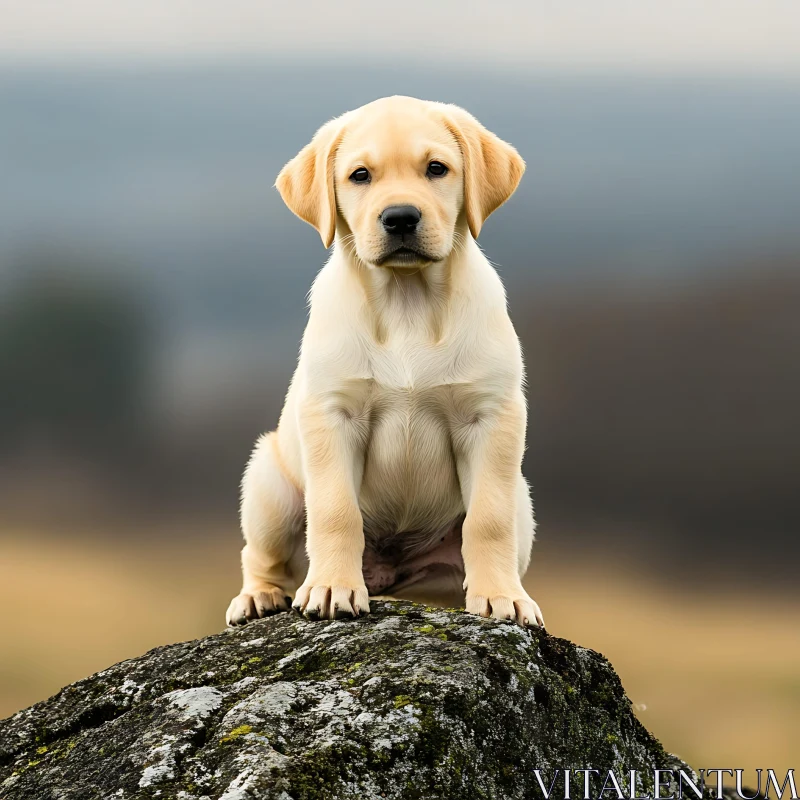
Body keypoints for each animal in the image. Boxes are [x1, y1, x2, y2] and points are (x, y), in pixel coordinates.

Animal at [228, 94, 548, 628]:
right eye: (360, 175)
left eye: (436, 168)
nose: (400, 217)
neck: (407, 302)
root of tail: (386, 576)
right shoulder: (332, 415)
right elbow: (336, 512)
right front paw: (332, 587)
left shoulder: (491, 418)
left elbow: (488, 520)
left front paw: (502, 596)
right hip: (269, 483)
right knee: (261, 556)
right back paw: (259, 596)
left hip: (520, 501)